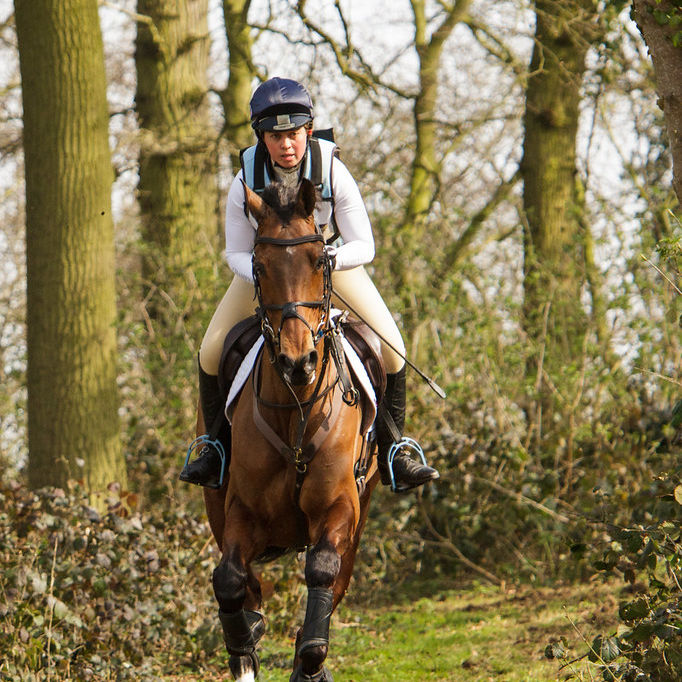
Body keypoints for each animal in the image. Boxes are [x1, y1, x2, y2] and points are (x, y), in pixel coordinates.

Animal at [202, 177, 382, 680]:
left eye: (320, 259)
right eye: (259, 267)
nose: (298, 362)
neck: (295, 408)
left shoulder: (340, 507)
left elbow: (322, 571)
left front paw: (311, 659)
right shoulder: (240, 510)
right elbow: (229, 579)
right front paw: (244, 648)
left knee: (336, 580)